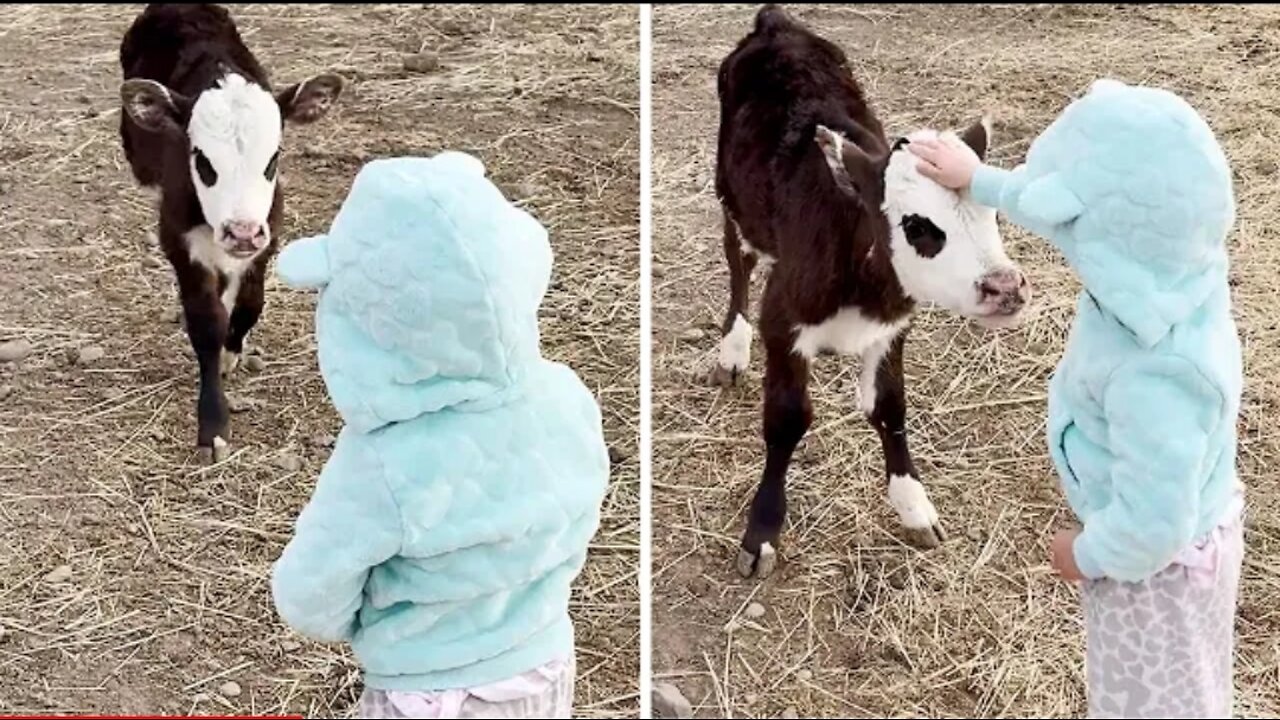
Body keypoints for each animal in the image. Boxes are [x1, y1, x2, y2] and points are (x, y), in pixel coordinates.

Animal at [117, 4, 340, 458]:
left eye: (274, 158)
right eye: (201, 160)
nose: (240, 232)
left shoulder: (268, 230)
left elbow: (250, 302)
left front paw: (232, 352)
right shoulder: (179, 240)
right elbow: (206, 323)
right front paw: (213, 427)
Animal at [716, 5, 1034, 576]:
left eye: (994, 213)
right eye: (917, 225)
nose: (1005, 288)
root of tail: (776, 23)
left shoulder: (892, 326)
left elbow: (890, 407)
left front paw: (913, 506)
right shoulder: (783, 321)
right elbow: (787, 421)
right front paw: (762, 534)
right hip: (732, 196)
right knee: (738, 260)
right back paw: (731, 351)